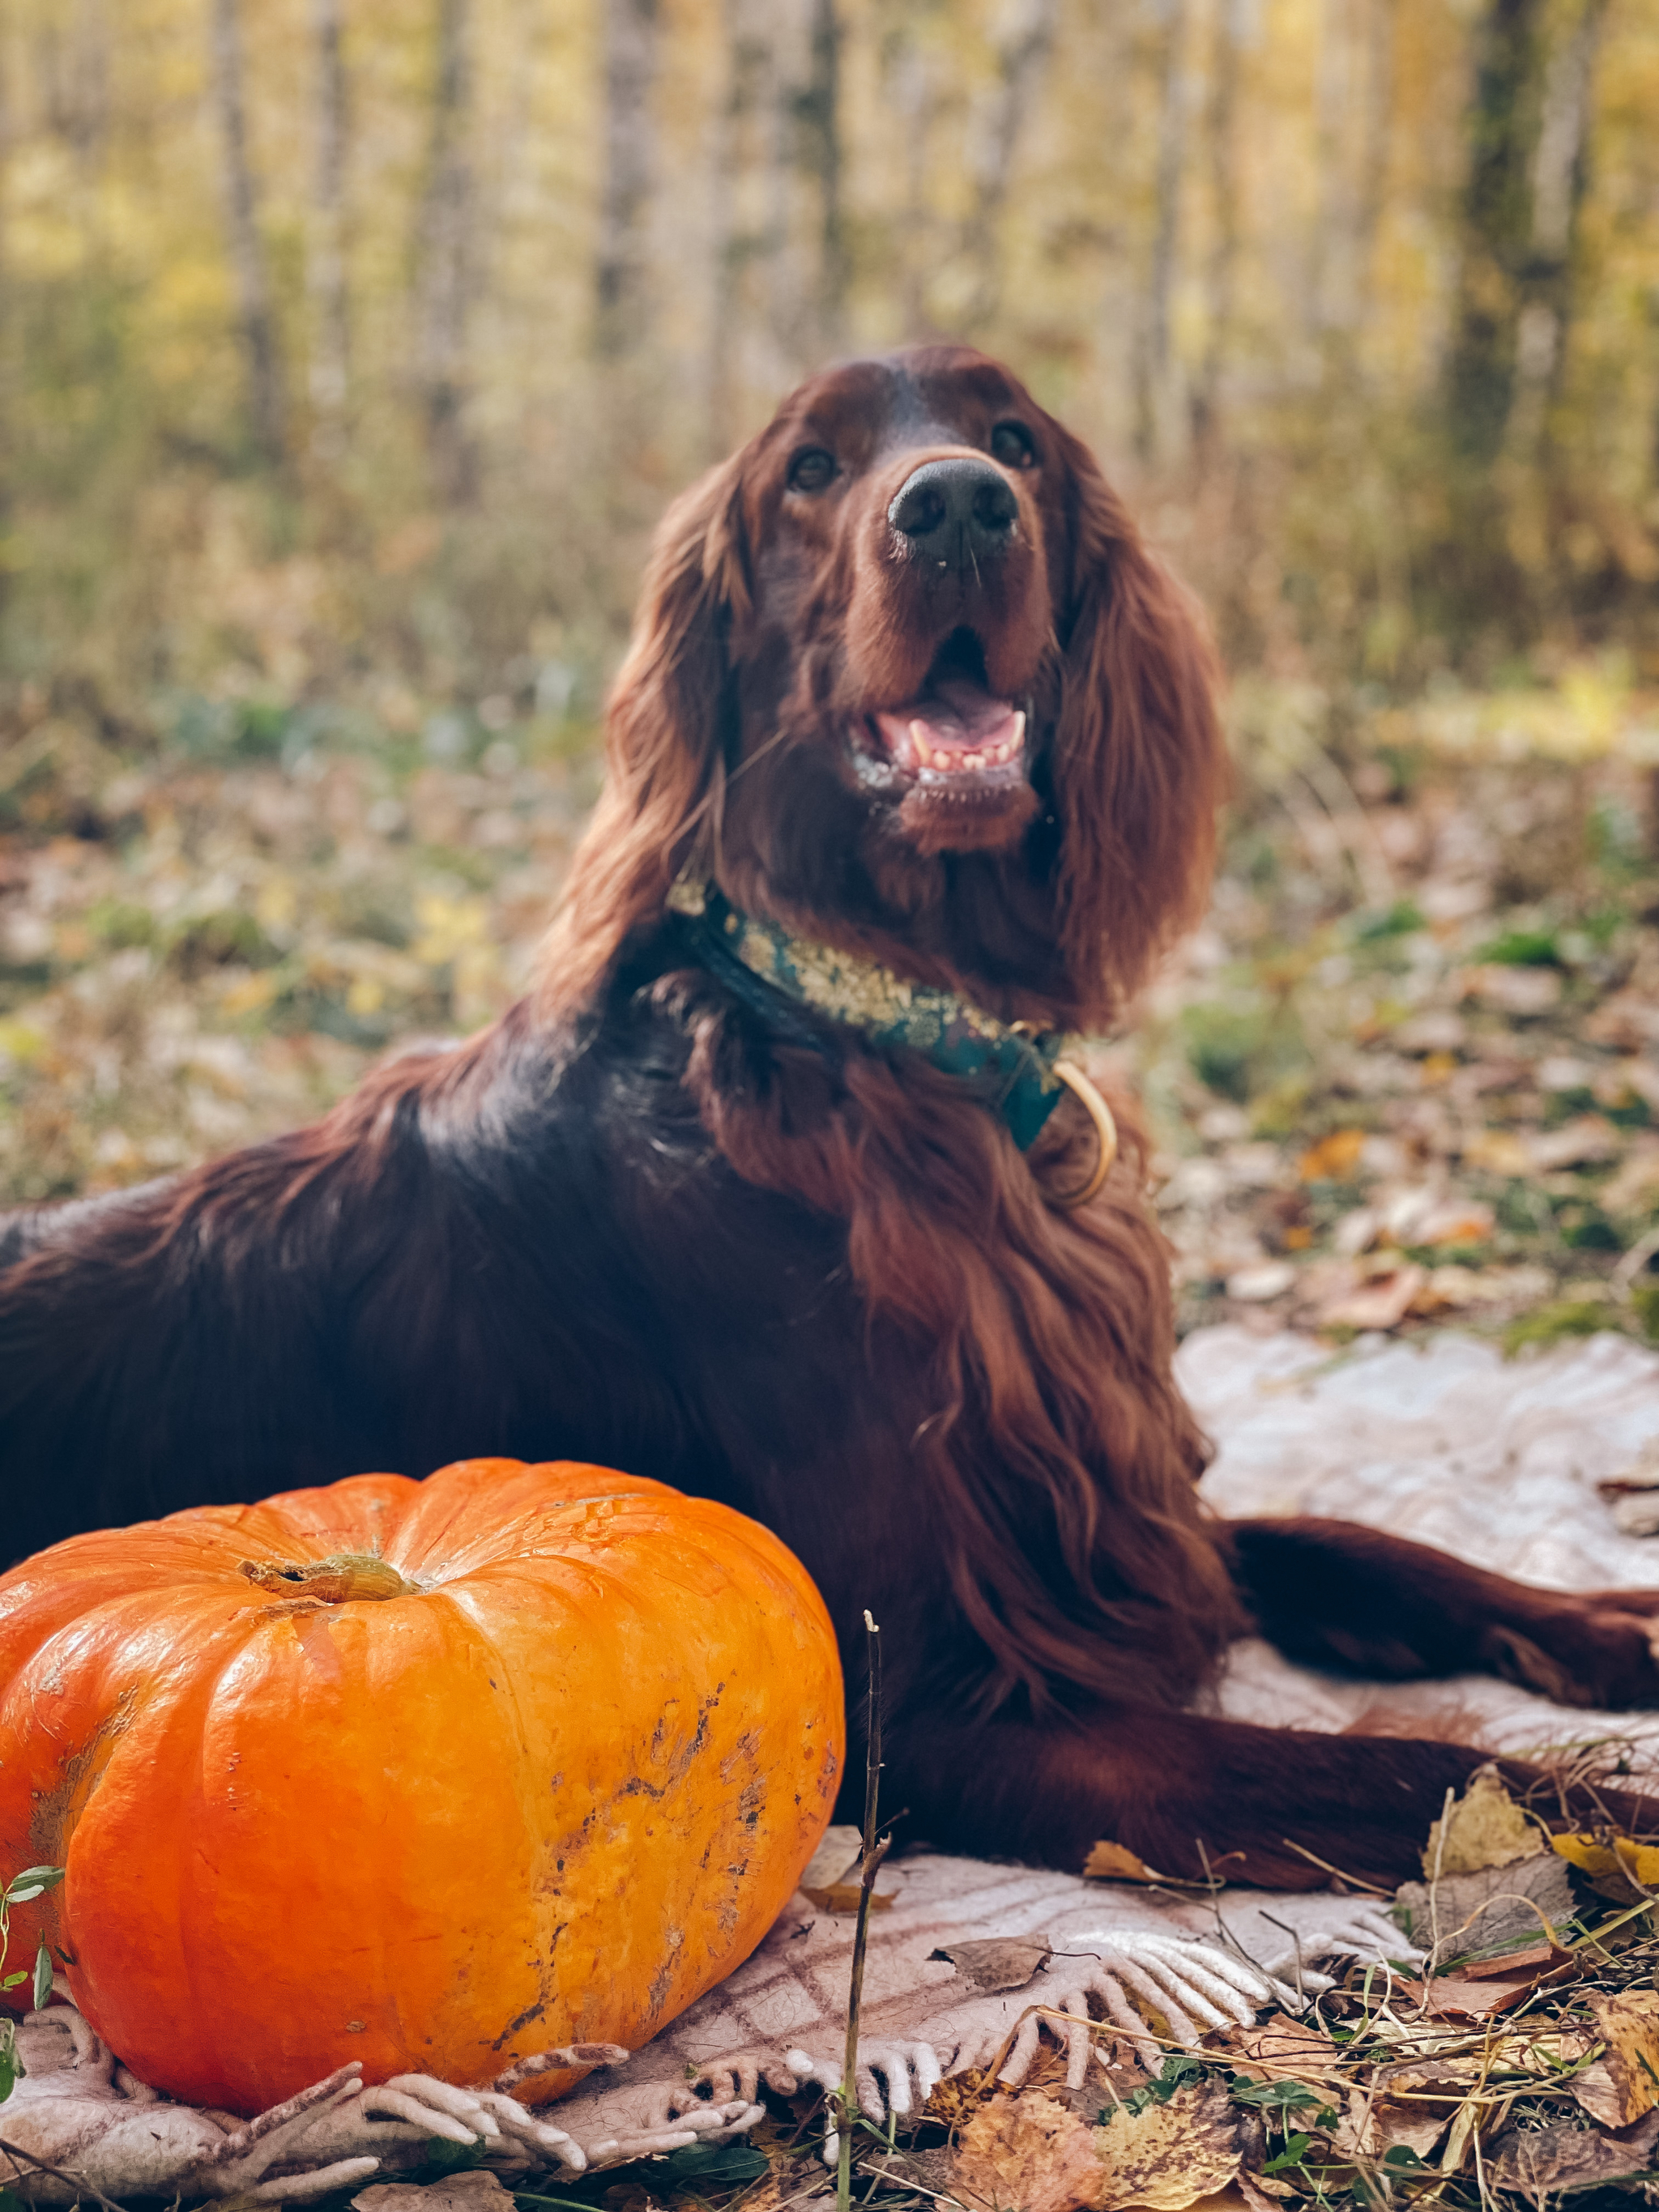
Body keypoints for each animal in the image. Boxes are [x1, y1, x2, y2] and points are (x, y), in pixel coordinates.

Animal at [3, 349, 1659, 1884]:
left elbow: (1360, 1544)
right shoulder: (923, 1702)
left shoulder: (1112, 1525)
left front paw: (1615, 1620)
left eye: (1013, 441)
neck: (891, 1043)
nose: (958, 508)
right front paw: (1619, 1811)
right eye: (810, 468)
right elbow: (1418, 1771)